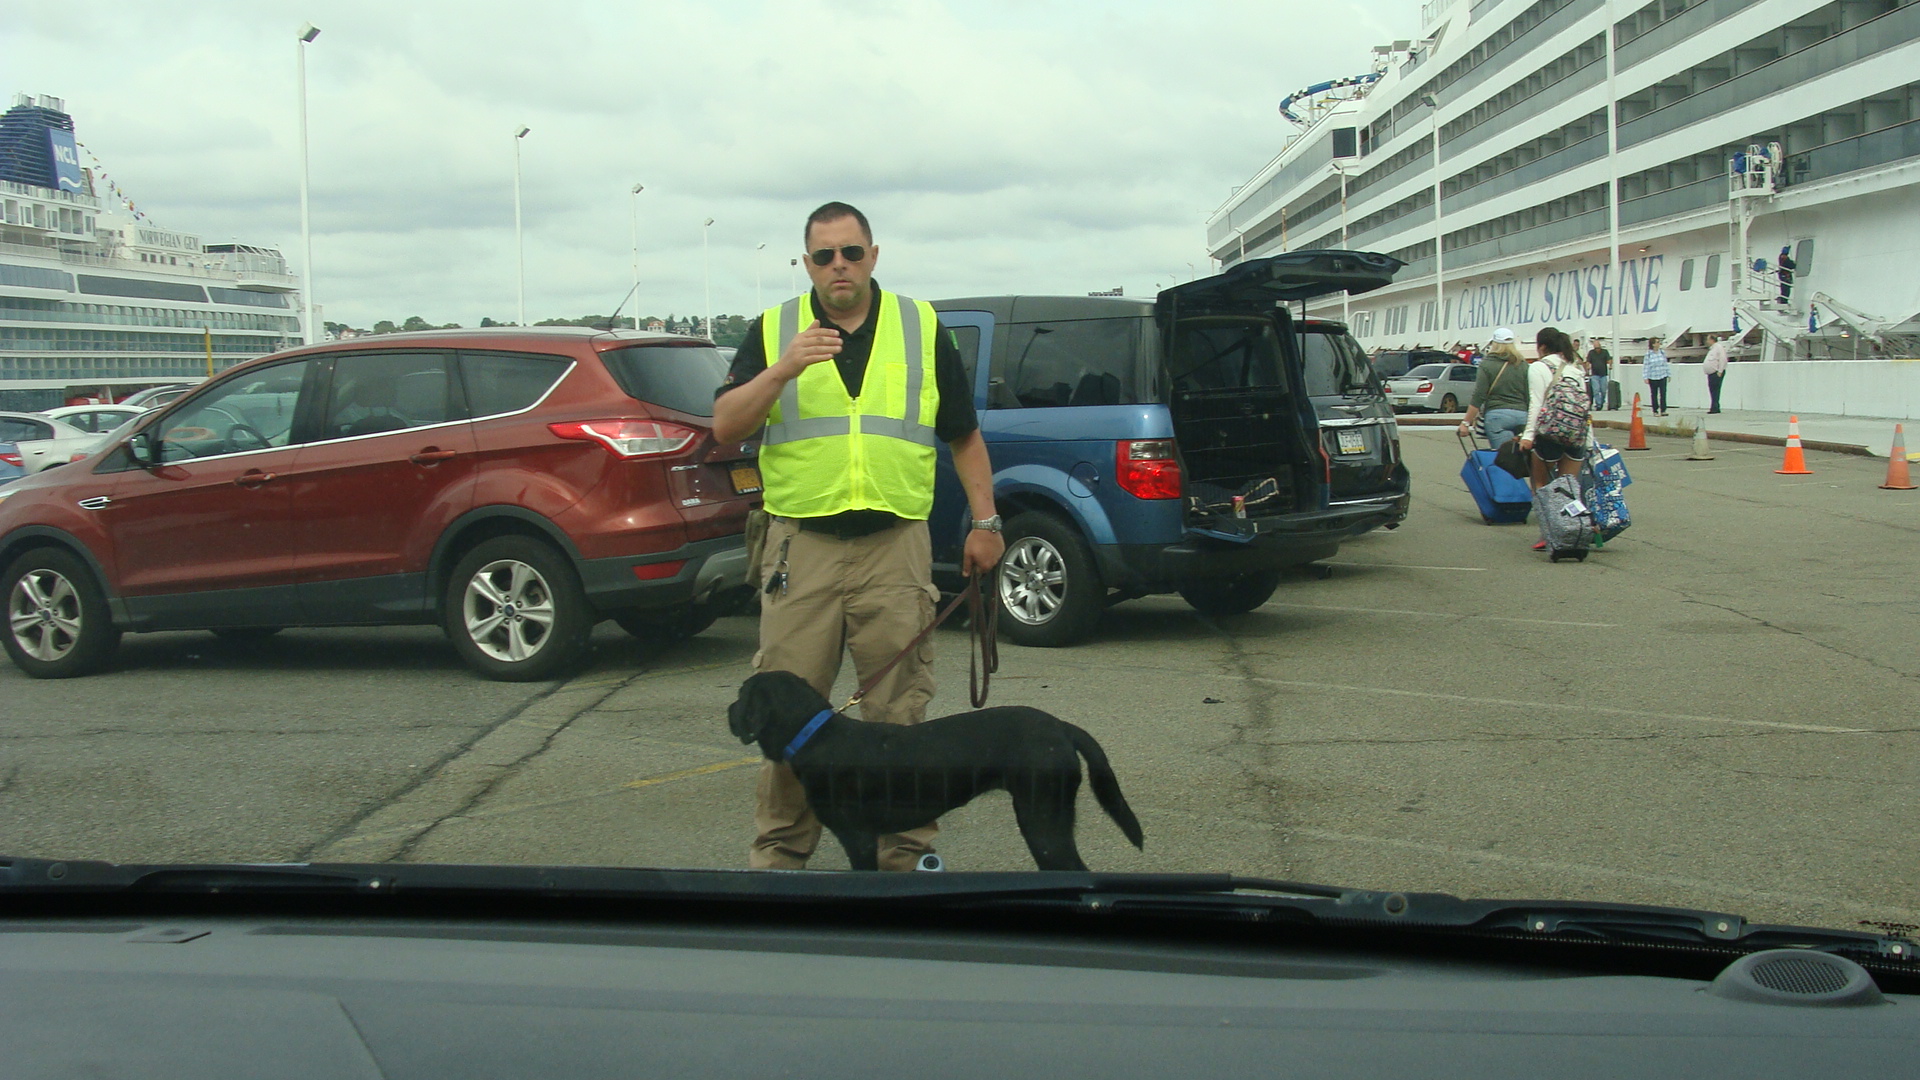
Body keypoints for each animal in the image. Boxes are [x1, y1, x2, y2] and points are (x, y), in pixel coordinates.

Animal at [721, 668, 1136, 868]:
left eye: (741, 695)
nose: (728, 711)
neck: (815, 734)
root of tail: (1061, 727)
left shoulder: (859, 837)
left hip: (1043, 821)